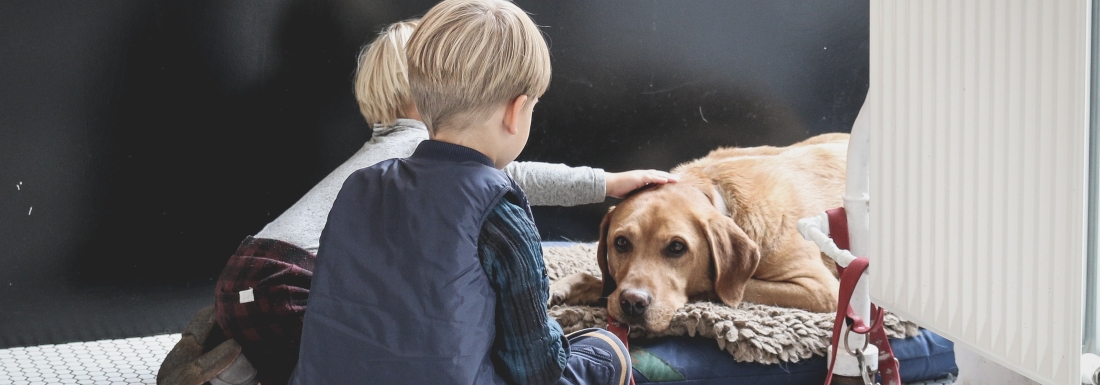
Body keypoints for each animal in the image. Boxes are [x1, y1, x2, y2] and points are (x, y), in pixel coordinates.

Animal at [550, 132, 849, 330]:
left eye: (677, 247)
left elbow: (719, 286)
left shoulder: (821, 289)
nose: (632, 302)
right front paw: (569, 286)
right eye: (621, 243)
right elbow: (604, 282)